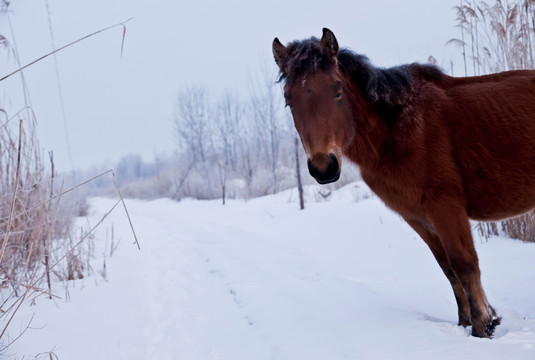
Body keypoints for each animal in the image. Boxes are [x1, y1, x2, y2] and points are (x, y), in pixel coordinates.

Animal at [272, 27, 535, 338]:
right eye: (289, 100)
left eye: (337, 90)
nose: (324, 167)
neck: (396, 131)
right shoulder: (417, 216)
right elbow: (448, 269)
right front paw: (466, 323)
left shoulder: (446, 208)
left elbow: (464, 264)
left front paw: (483, 326)